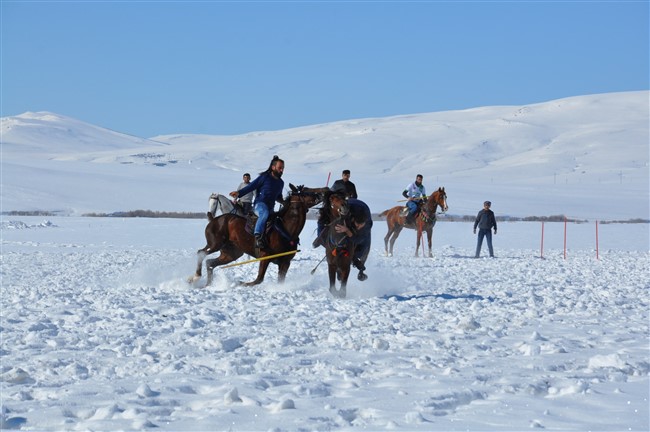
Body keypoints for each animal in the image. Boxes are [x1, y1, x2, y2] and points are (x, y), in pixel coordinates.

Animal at [190, 183, 326, 286]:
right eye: (305, 192)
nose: (322, 194)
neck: (286, 230)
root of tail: (213, 219)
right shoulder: (265, 257)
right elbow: (258, 280)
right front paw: (242, 283)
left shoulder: (285, 262)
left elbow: (278, 281)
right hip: (215, 244)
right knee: (201, 253)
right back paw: (195, 276)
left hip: (231, 253)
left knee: (210, 263)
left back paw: (207, 284)